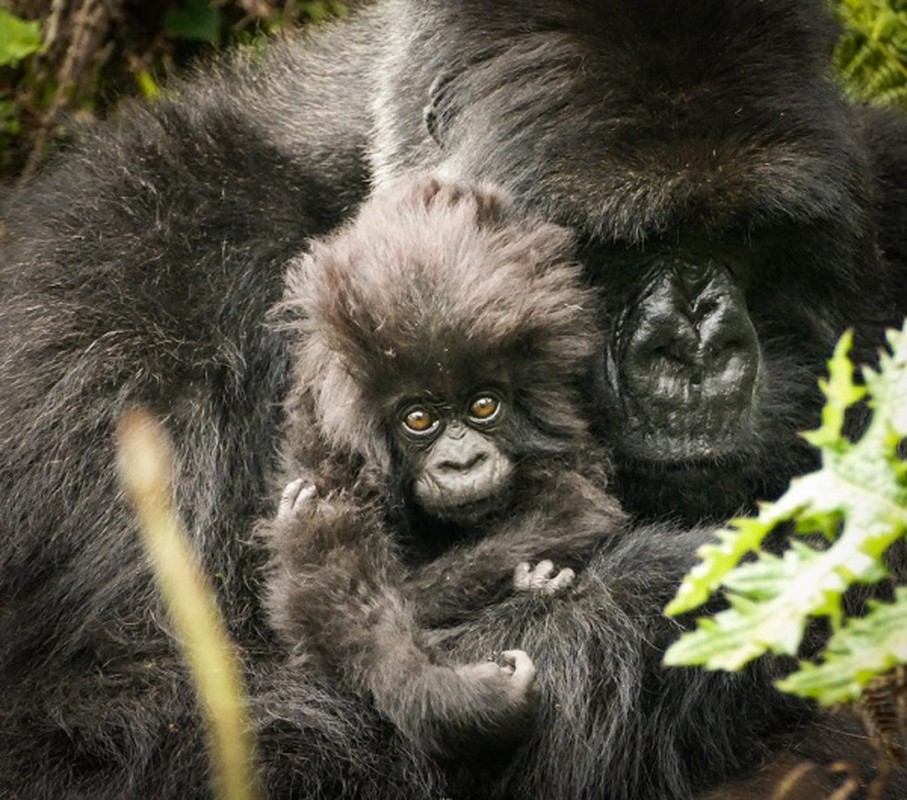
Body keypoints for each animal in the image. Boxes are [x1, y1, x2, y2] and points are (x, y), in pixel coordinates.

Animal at [262, 178, 628, 760]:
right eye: (418, 418)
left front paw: (535, 582)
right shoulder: (330, 438)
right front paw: (447, 695)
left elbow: (575, 510)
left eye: (483, 405)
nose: (463, 461)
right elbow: (335, 588)